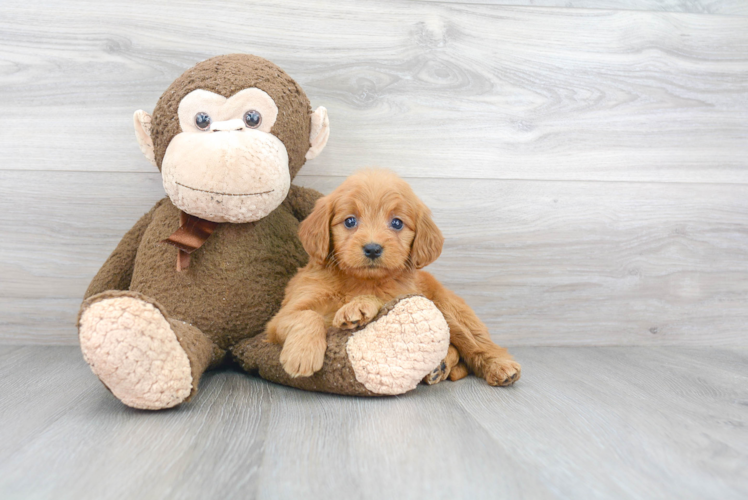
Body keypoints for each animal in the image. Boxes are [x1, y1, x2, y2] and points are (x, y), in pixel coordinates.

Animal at [268, 169, 520, 386]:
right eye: (350, 221)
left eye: (397, 223)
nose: (372, 249)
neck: (358, 281)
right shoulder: (279, 319)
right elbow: (308, 315)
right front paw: (302, 354)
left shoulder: (400, 295)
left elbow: (377, 298)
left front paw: (357, 307)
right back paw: (439, 367)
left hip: (449, 311)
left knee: (475, 344)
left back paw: (499, 366)